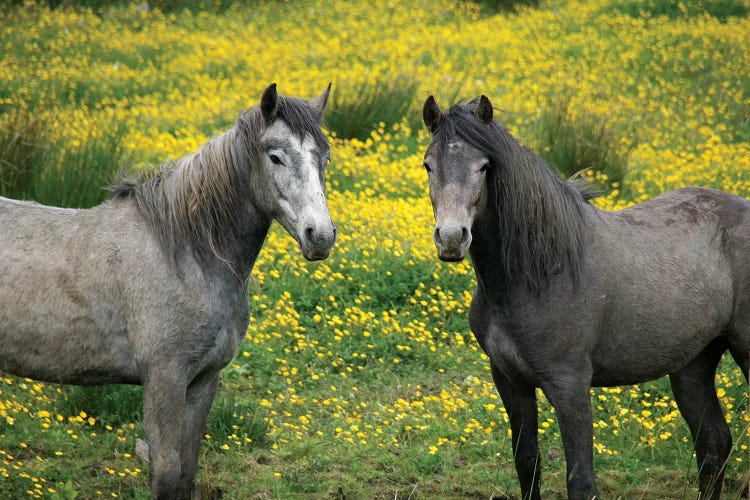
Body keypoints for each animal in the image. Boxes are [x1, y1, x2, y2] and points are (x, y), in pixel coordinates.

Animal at [0, 84, 334, 498]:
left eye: (324, 157)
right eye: (275, 157)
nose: (320, 236)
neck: (186, 256)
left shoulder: (204, 381)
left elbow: (186, 470)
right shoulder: (164, 379)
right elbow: (166, 474)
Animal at [424, 94, 750, 500]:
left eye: (484, 167)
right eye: (428, 165)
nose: (452, 238)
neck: (539, 273)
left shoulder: (570, 386)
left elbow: (581, 480)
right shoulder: (510, 381)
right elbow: (527, 464)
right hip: (694, 363)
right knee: (713, 444)